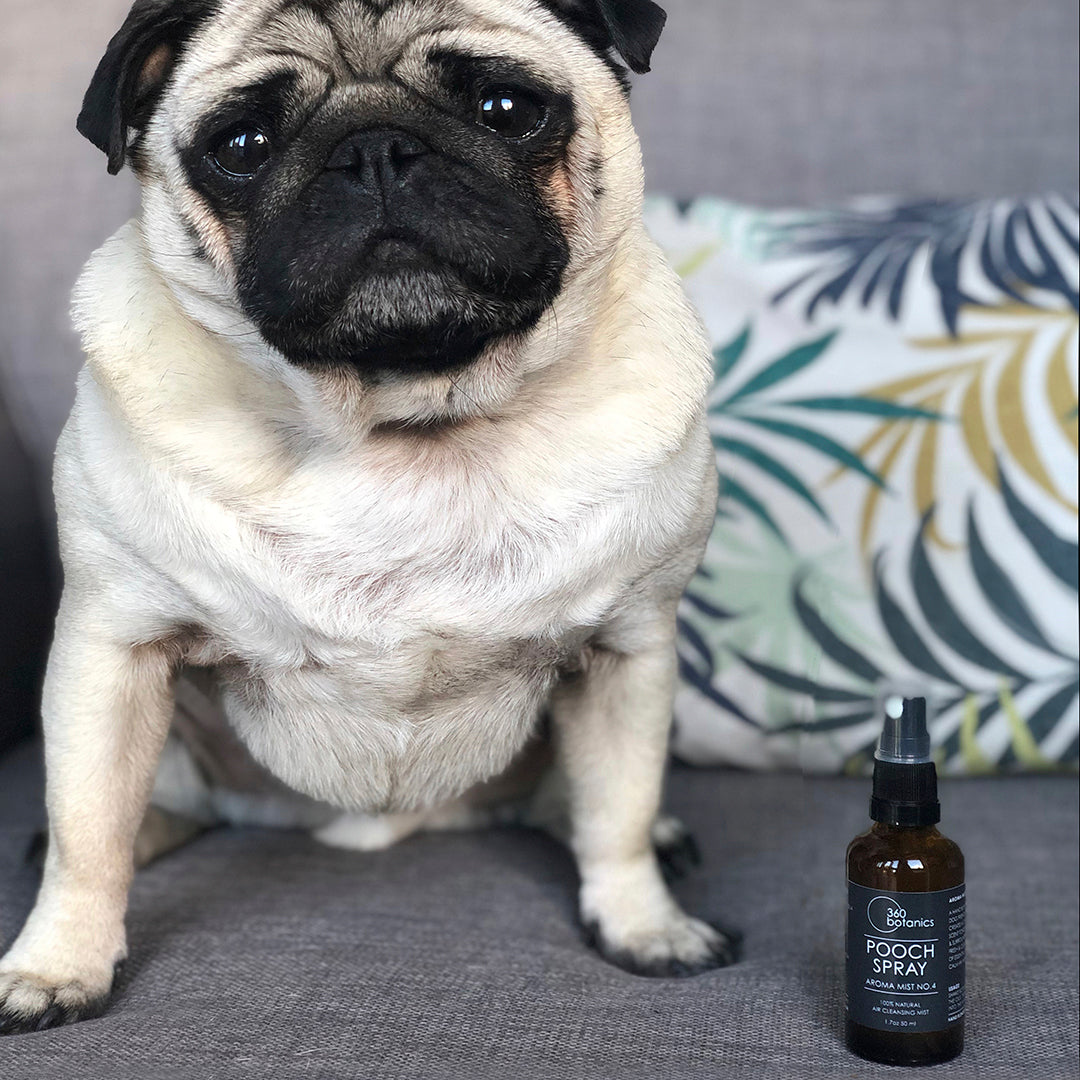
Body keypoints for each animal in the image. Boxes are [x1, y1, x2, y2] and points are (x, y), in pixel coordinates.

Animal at [0, 0, 730, 1032]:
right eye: (242, 145)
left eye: (507, 108)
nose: (375, 149)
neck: (409, 419)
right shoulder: (116, 650)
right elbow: (87, 830)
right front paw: (59, 962)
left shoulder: (626, 652)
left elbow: (618, 809)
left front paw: (643, 924)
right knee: (136, 812)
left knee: (572, 803)